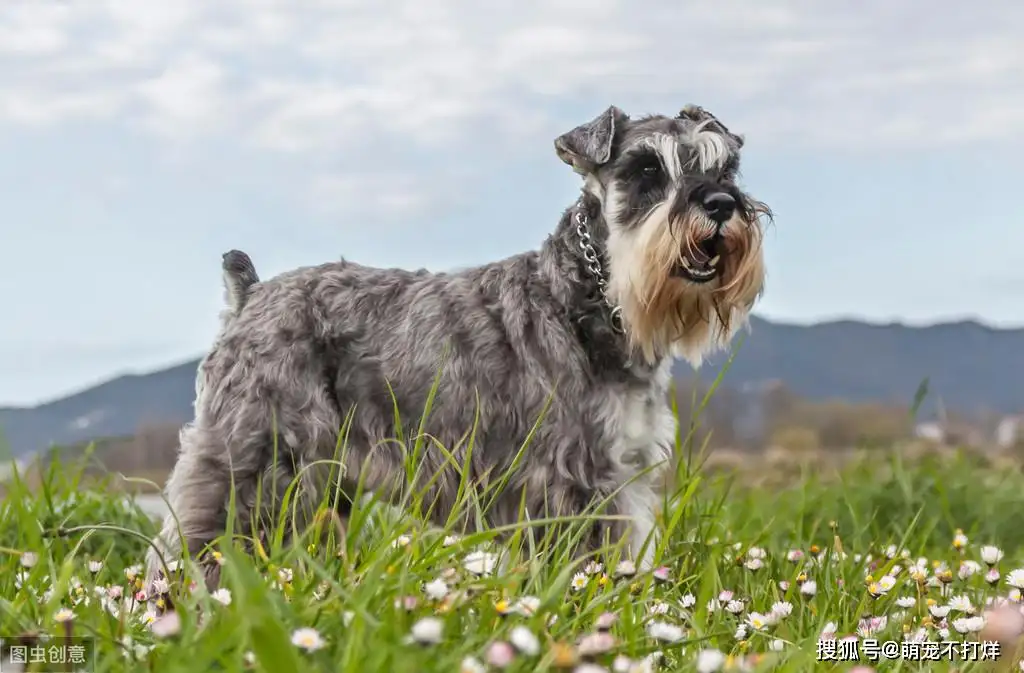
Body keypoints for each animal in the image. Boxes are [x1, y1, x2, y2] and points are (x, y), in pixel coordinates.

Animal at [146, 102, 770, 585]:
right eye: (645, 170)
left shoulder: (626, 474)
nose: (720, 205)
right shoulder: (573, 479)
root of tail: (250, 295)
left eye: (727, 166)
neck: (583, 296)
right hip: (252, 461)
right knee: (194, 542)